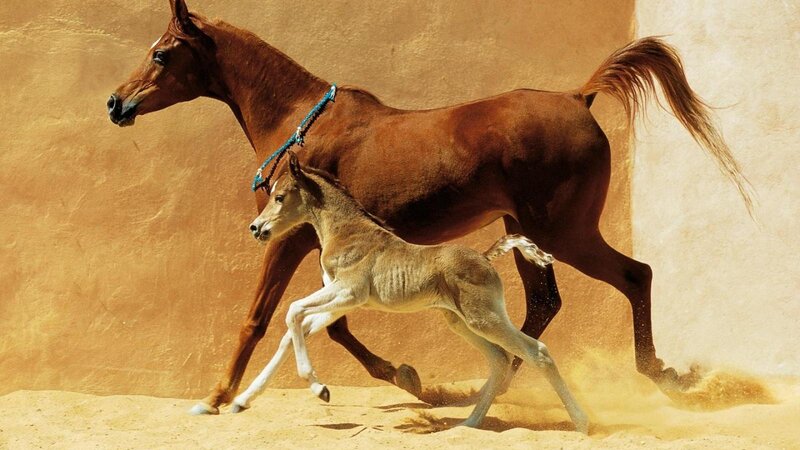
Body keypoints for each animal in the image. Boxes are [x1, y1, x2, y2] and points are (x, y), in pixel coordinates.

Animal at [233, 152, 588, 432]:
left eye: (280, 197)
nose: (256, 228)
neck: (347, 232)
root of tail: (486, 257)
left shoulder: (348, 292)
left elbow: (293, 311)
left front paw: (320, 388)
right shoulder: (341, 301)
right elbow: (293, 329)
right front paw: (242, 401)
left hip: (483, 318)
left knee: (536, 352)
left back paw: (581, 423)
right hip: (460, 321)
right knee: (499, 359)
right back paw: (470, 424)